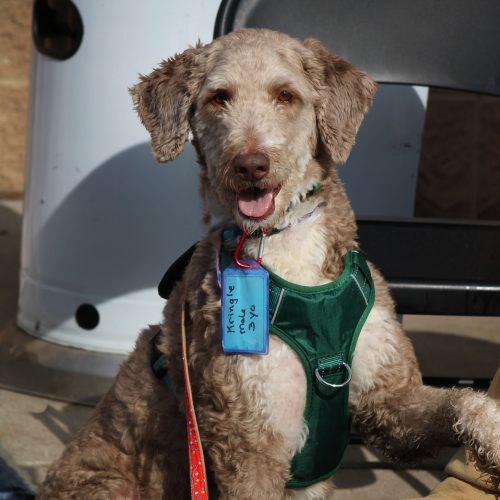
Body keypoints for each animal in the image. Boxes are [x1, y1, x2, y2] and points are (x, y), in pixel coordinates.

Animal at [38, 28, 500, 500]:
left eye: (286, 95)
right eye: (218, 97)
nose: (250, 164)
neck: (285, 252)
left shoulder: (390, 402)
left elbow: (465, 401)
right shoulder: (250, 441)